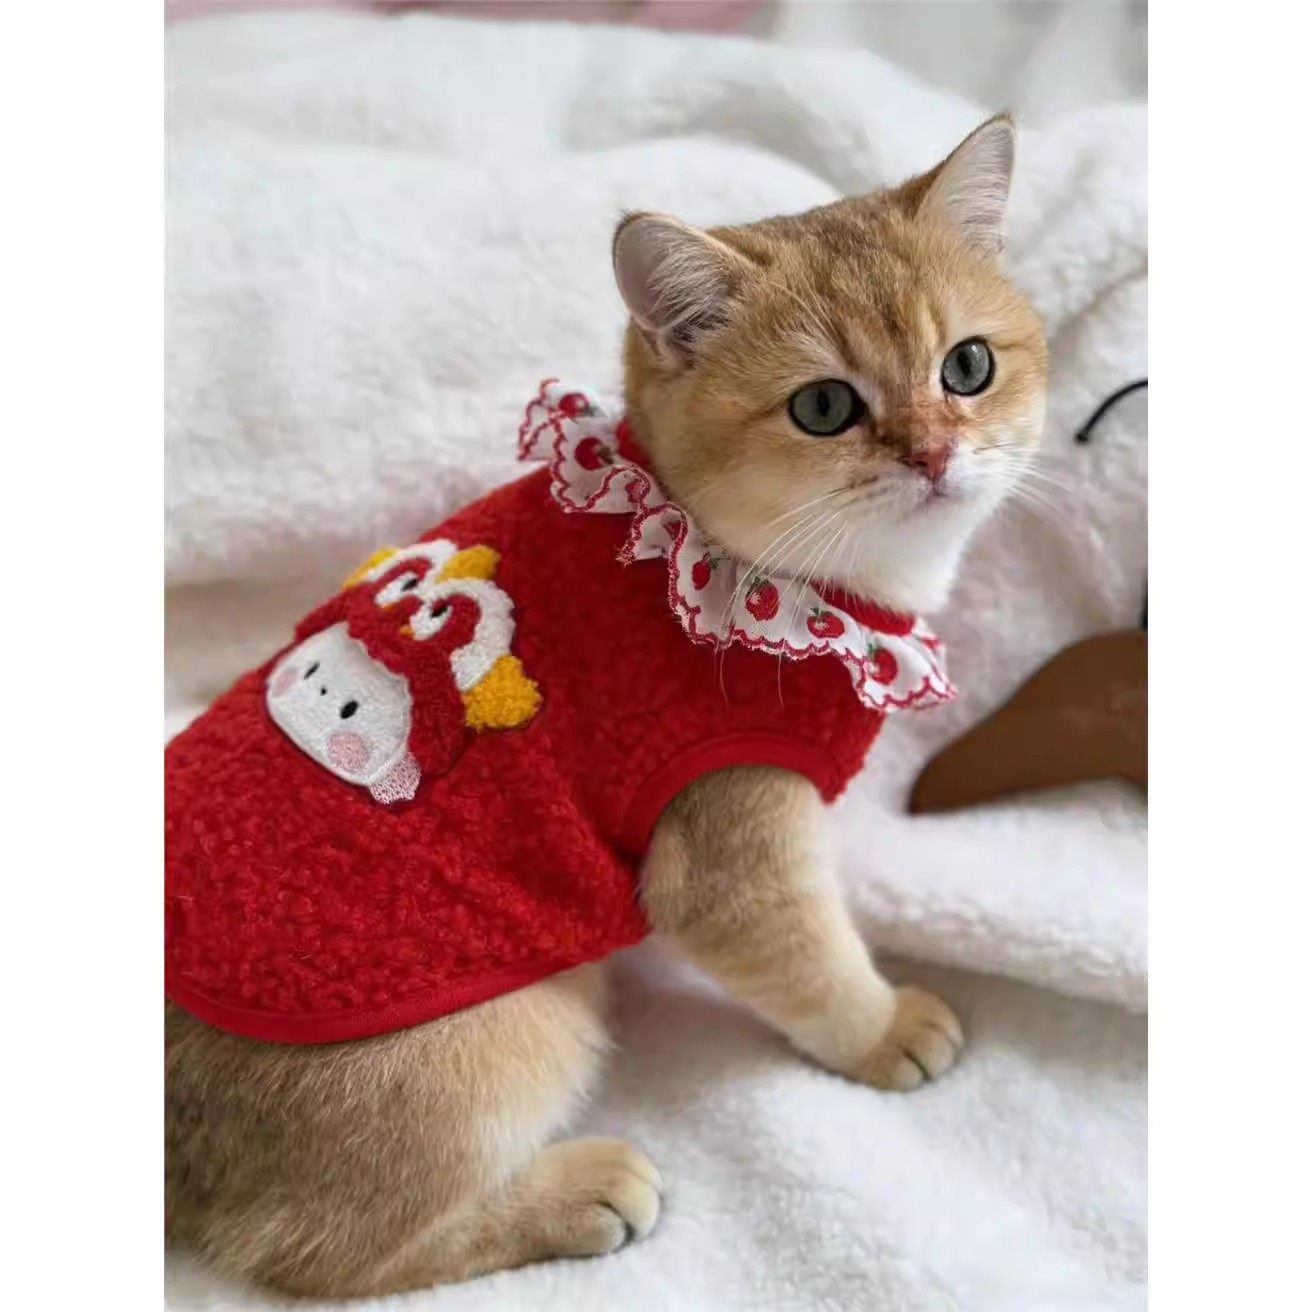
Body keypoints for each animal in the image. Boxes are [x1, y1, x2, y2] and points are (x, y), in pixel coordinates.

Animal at [166, 114, 1047, 1297]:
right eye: (824, 406)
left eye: (969, 366)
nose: (936, 452)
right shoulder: (732, 847)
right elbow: (813, 963)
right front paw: (884, 1030)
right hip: (514, 1033)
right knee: (315, 1252)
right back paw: (579, 1192)